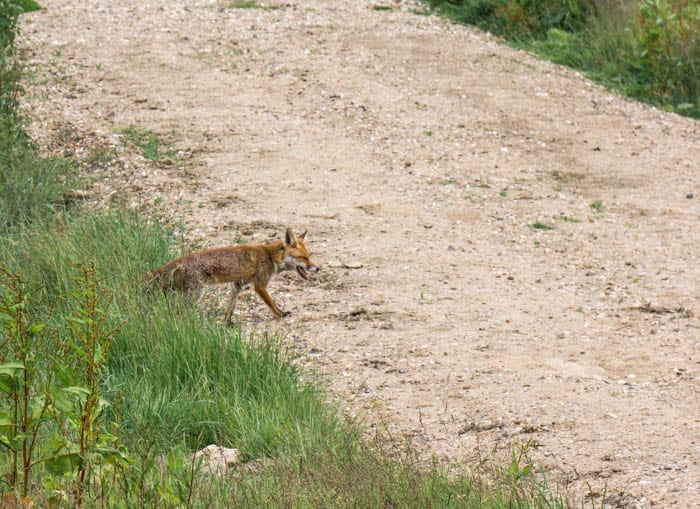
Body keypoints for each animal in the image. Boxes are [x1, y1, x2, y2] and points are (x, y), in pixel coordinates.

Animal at [149, 228, 322, 320]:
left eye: (309, 256)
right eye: (303, 257)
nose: (318, 268)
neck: (271, 257)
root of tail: (179, 260)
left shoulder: (238, 284)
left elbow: (230, 306)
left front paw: (227, 322)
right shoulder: (260, 286)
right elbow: (272, 304)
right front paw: (280, 314)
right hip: (196, 293)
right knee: (179, 310)